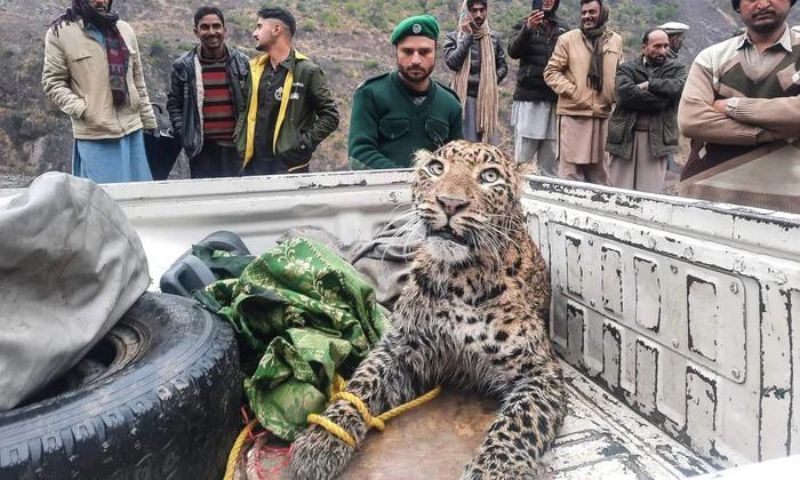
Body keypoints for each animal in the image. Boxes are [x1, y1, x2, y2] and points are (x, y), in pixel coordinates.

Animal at [288, 141, 564, 478]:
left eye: (489, 176)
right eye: (436, 168)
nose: (450, 203)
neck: (460, 279)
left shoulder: (540, 369)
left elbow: (519, 421)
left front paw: (494, 470)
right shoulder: (401, 346)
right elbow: (362, 382)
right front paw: (322, 438)